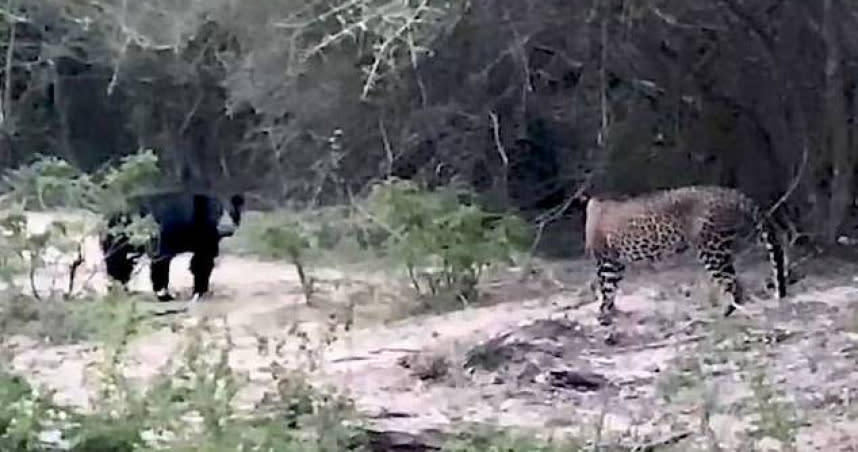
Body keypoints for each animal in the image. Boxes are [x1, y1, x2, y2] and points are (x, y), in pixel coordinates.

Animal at [103, 192, 247, 304]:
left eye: (232, 213)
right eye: (217, 212)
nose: (226, 229)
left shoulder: (206, 239)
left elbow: (202, 261)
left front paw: (200, 292)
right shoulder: (166, 231)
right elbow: (161, 261)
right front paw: (165, 295)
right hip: (121, 235)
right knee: (116, 259)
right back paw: (117, 288)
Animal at [580, 184, 784, 324]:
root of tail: (727, 192)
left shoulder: (606, 261)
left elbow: (606, 289)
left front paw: (604, 315)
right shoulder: (616, 262)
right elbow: (612, 289)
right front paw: (610, 313)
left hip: (712, 248)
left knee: (732, 282)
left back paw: (724, 314)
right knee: (736, 282)